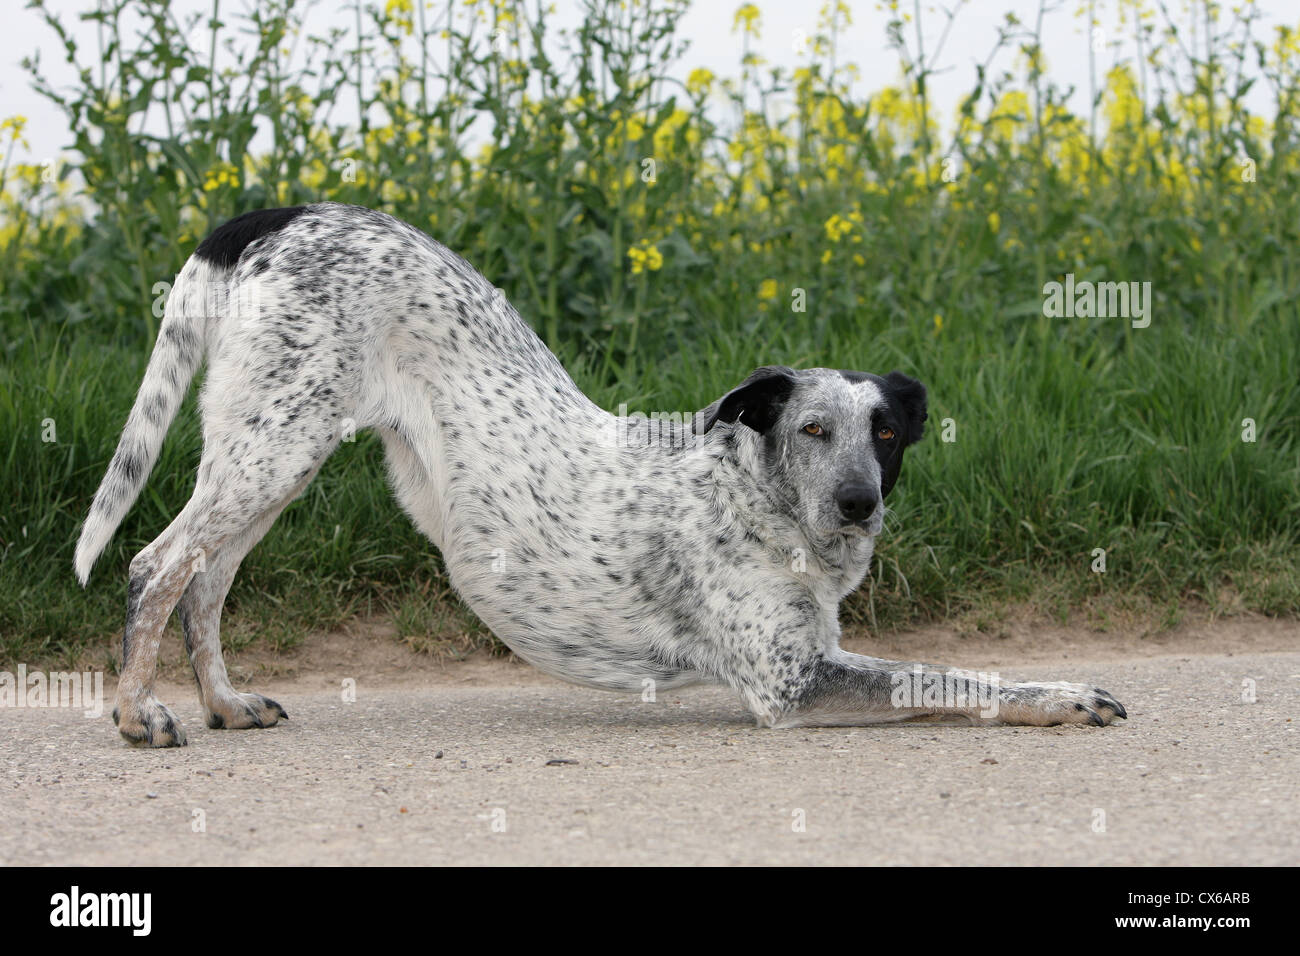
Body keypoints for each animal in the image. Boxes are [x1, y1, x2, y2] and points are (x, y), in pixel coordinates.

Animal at [76, 205, 1123, 749]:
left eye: (890, 434)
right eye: (813, 429)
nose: (858, 504)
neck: (759, 502)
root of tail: (277, 215)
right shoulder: (793, 685)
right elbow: (947, 674)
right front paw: (1066, 696)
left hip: (269, 456)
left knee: (204, 582)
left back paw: (223, 701)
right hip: (272, 450)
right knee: (154, 567)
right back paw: (139, 712)